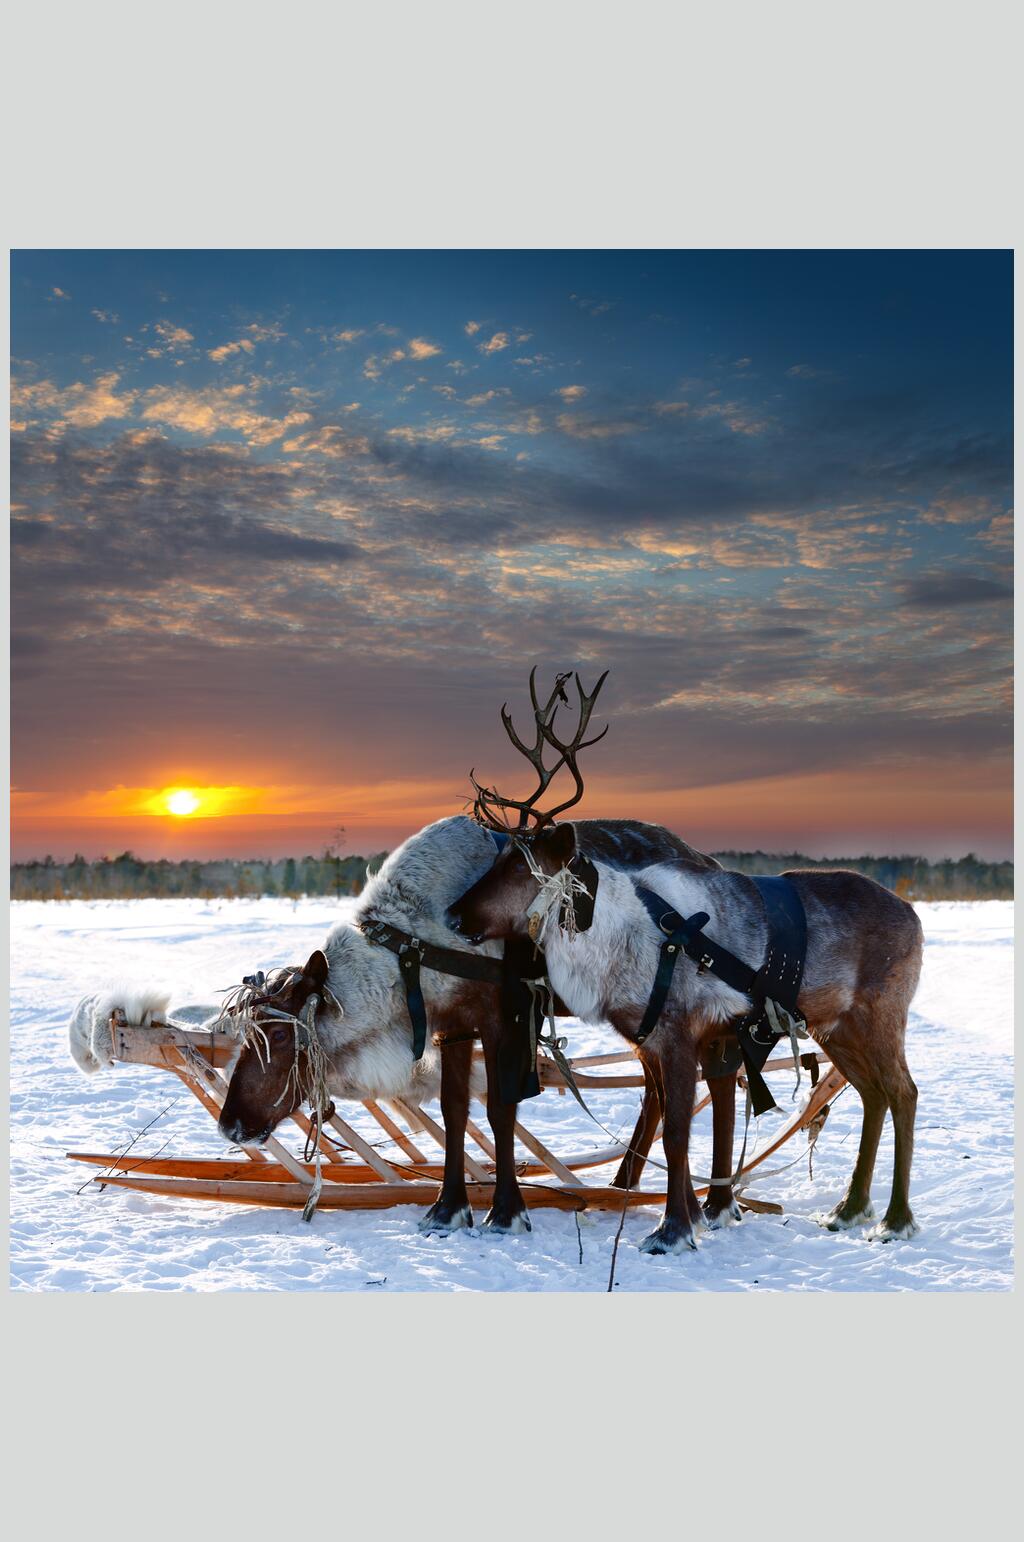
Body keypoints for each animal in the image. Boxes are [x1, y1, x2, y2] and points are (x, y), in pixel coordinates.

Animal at [449, 693, 924, 1255]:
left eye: (520, 867)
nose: (454, 915)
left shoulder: (679, 1033)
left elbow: (676, 1132)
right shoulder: (655, 1040)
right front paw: (695, 1217)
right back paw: (849, 1209)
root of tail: (914, 914)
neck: (613, 938)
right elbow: (670, 1125)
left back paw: (895, 1219)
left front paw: (672, 1230)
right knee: (872, 1095)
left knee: (903, 1093)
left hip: (880, 1016)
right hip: (836, 1028)